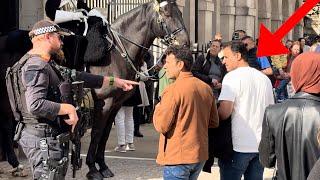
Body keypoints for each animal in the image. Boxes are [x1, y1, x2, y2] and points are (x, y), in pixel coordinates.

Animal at [82, 0, 190, 179]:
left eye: (180, 13)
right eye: (167, 14)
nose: (185, 42)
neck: (115, 54)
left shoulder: (116, 104)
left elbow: (105, 134)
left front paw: (103, 166)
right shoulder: (103, 102)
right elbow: (96, 132)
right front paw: (92, 168)